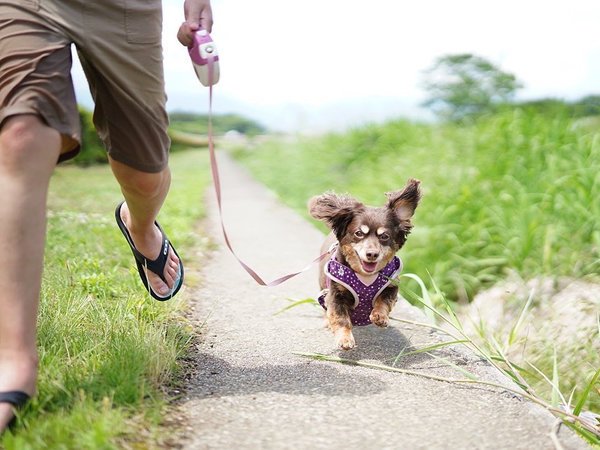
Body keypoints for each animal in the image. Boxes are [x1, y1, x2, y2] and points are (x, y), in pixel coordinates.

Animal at [310, 178, 422, 350]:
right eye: (358, 233)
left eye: (384, 236)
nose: (372, 254)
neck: (365, 277)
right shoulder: (336, 295)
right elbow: (340, 318)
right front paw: (344, 339)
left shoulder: (391, 286)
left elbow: (383, 302)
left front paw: (380, 316)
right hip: (323, 286)